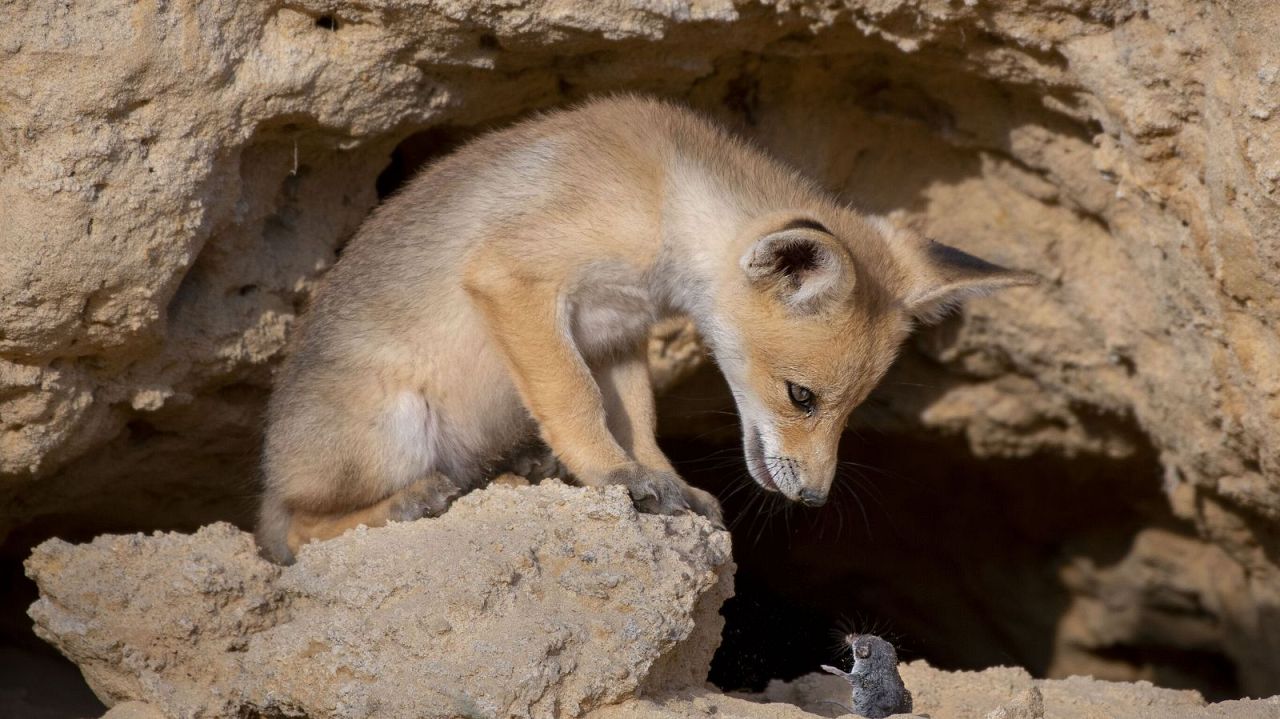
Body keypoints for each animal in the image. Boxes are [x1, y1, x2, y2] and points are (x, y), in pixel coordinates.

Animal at [254, 94, 1034, 560]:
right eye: (802, 396)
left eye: (853, 410)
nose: (812, 498)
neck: (662, 195)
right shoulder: (516, 279)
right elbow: (575, 401)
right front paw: (610, 474)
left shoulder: (616, 335)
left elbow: (639, 421)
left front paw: (662, 481)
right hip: (394, 427)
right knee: (293, 531)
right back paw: (408, 502)